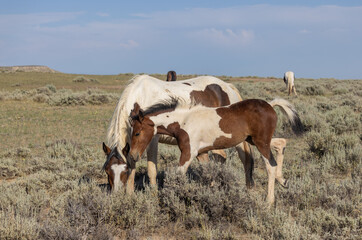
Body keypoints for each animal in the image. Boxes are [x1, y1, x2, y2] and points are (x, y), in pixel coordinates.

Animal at [129, 97, 304, 204]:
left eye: (137, 133)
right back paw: (284, 181)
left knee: (270, 166)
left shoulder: (188, 153)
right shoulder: (201, 153)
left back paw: (269, 201)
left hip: (261, 143)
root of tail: (270, 105)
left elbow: (178, 175)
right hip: (254, 140)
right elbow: (209, 173)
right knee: (281, 143)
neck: (184, 121)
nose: (132, 156)